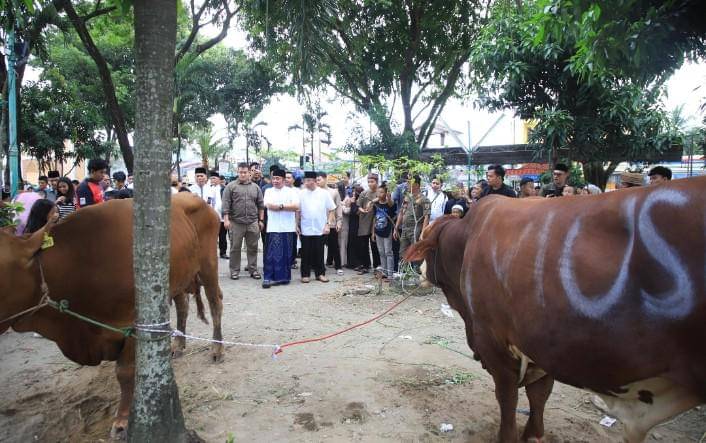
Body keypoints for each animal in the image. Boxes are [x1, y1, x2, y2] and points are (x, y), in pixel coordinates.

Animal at [0, 193, 224, 437]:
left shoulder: (131, 322)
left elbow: (125, 372)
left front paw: (123, 421)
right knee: (182, 306)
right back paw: (177, 345)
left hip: (208, 265)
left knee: (215, 304)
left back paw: (217, 349)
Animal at [406, 176, 706, 442]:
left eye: (426, 241)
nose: (419, 270)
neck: (466, 240)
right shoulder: (544, 347)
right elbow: (539, 396)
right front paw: (533, 434)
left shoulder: (496, 347)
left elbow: (508, 401)